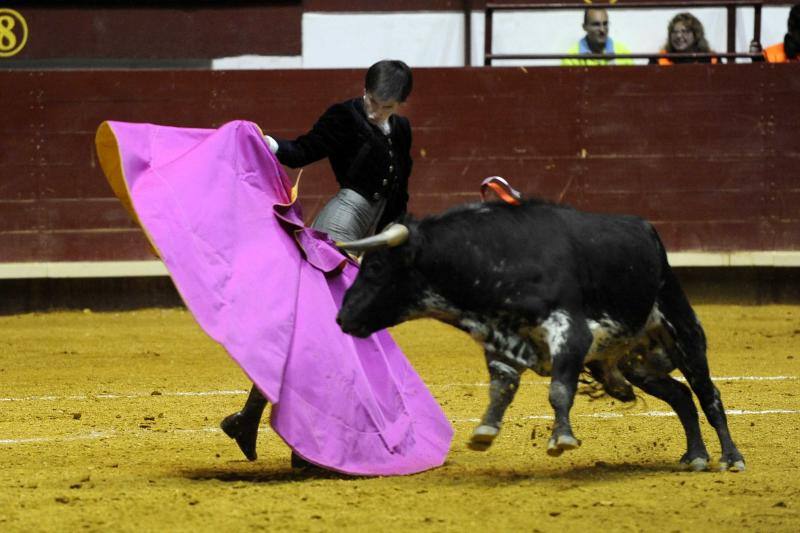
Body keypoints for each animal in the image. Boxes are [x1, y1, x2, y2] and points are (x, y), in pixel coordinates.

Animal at [336, 198, 744, 470]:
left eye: (375, 267)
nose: (342, 317)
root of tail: (650, 234)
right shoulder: (500, 342)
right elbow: (501, 389)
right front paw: (485, 431)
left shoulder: (570, 332)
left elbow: (559, 389)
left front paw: (561, 438)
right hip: (635, 365)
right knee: (680, 395)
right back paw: (695, 456)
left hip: (683, 332)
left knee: (708, 395)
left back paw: (730, 458)